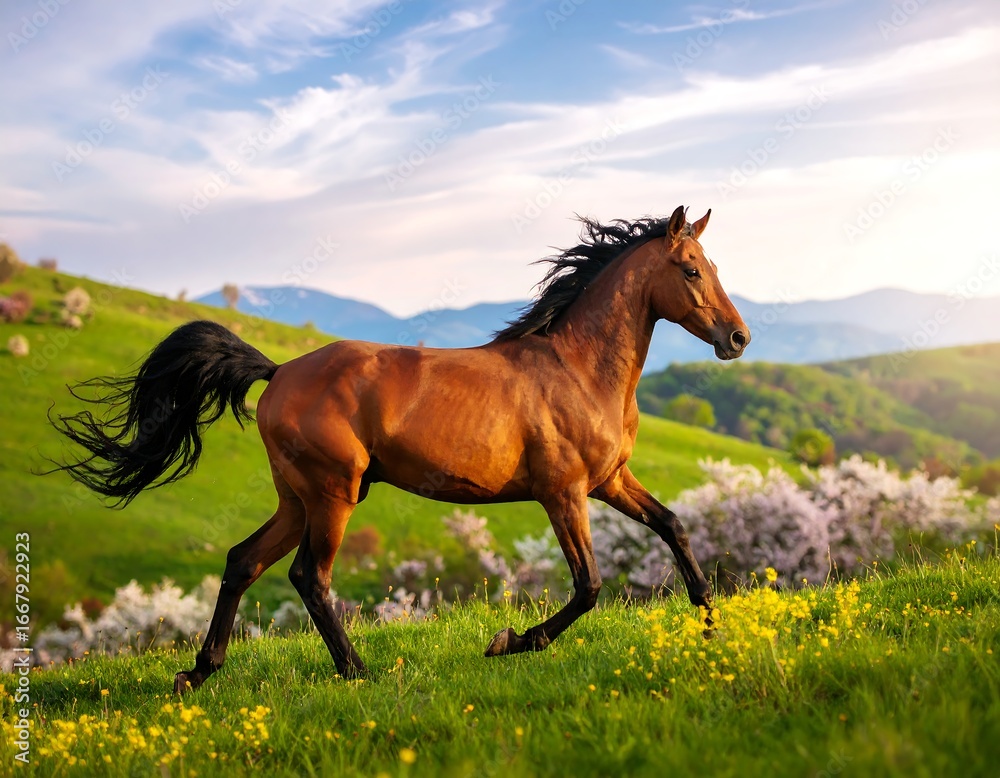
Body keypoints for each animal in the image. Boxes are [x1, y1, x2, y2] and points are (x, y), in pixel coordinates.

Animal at [50, 205, 749, 694]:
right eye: (691, 270)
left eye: (715, 268)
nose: (738, 338)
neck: (575, 369)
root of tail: (278, 372)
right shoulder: (564, 492)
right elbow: (588, 585)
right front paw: (509, 641)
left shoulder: (609, 481)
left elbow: (672, 525)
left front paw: (713, 623)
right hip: (333, 494)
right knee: (309, 577)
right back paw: (359, 672)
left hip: (298, 499)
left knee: (243, 562)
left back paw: (198, 672)